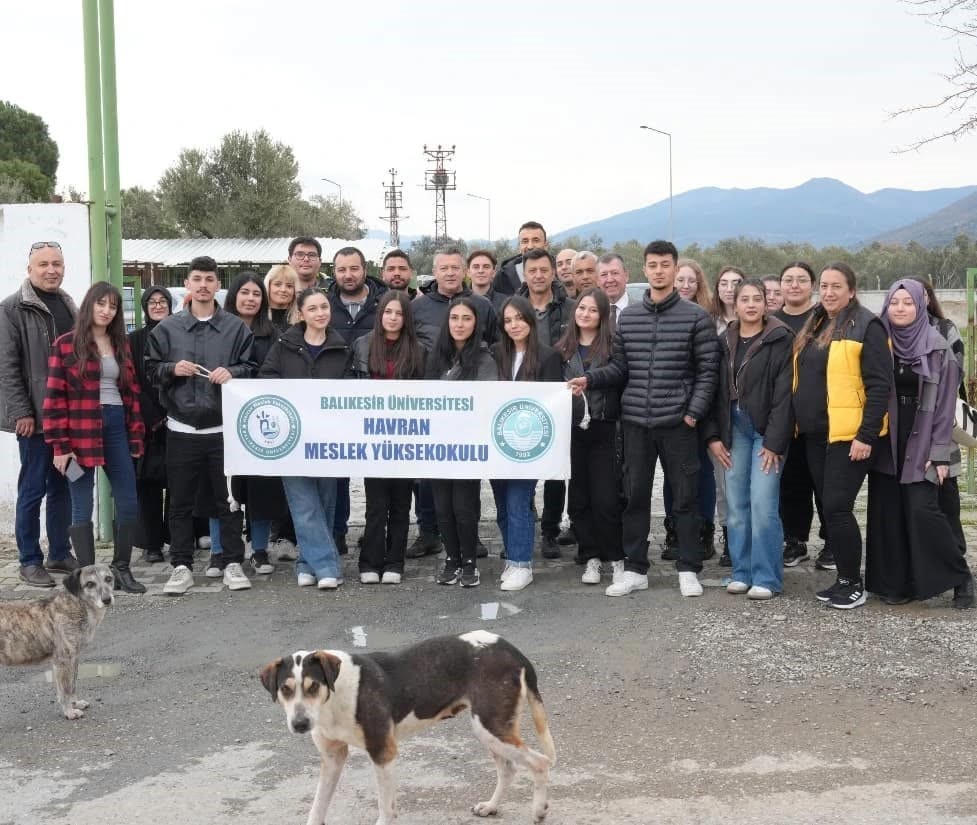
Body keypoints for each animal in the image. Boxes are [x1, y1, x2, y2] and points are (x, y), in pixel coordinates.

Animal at [260, 628, 556, 820]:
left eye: (313, 686)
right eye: (285, 689)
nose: (300, 724)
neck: (334, 695)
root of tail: (511, 649)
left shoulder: (383, 754)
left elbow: (385, 810)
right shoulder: (333, 757)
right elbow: (317, 808)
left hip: (490, 726)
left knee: (540, 762)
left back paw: (539, 810)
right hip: (489, 729)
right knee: (508, 769)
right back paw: (491, 806)